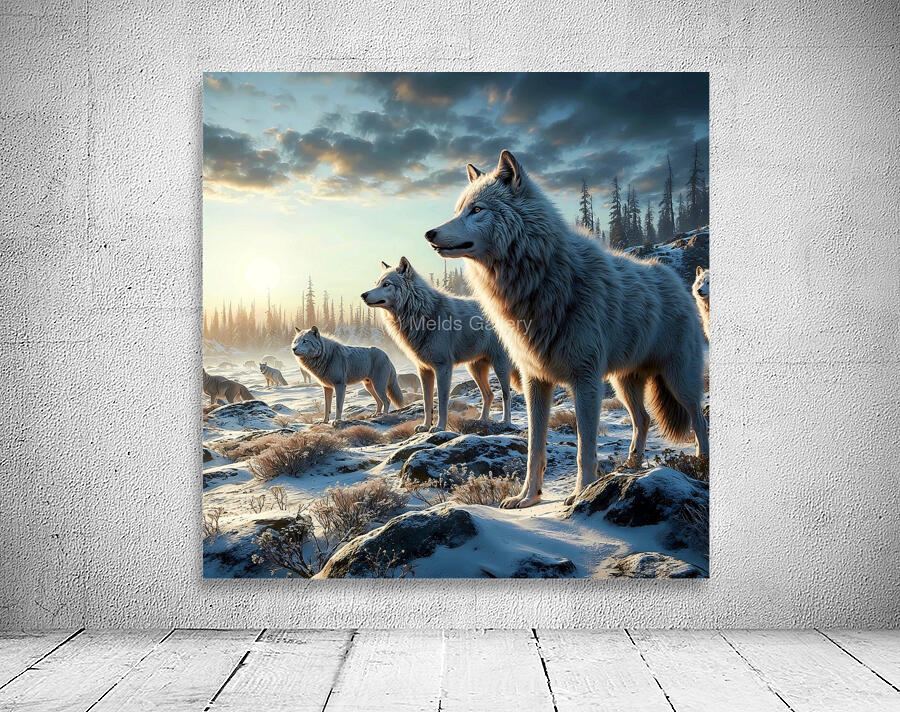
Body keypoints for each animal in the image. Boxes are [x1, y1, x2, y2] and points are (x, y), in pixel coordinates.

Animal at [362, 257, 519, 432]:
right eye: (377, 283)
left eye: (387, 284)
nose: (363, 295)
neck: (423, 313)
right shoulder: (424, 370)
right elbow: (427, 403)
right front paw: (425, 426)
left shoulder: (443, 367)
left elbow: (442, 402)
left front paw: (439, 427)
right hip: (474, 369)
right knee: (489, 395)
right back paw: (481, 420)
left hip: (500, 366)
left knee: (506, 395)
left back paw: (506, 422)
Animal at [425, 150, 709, 508]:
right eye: (459, 210)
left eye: (477, 210)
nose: (430, 234)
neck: (541, 279)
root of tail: (678, 281)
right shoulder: (535, 381)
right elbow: (534, 450)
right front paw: (527, 498)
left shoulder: (585, 381)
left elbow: (585, 449)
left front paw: (582, 494)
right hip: (622, 383)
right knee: (643, 420)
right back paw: (631, 466)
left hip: (678, 379)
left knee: (699, 419)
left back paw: (701, 462)